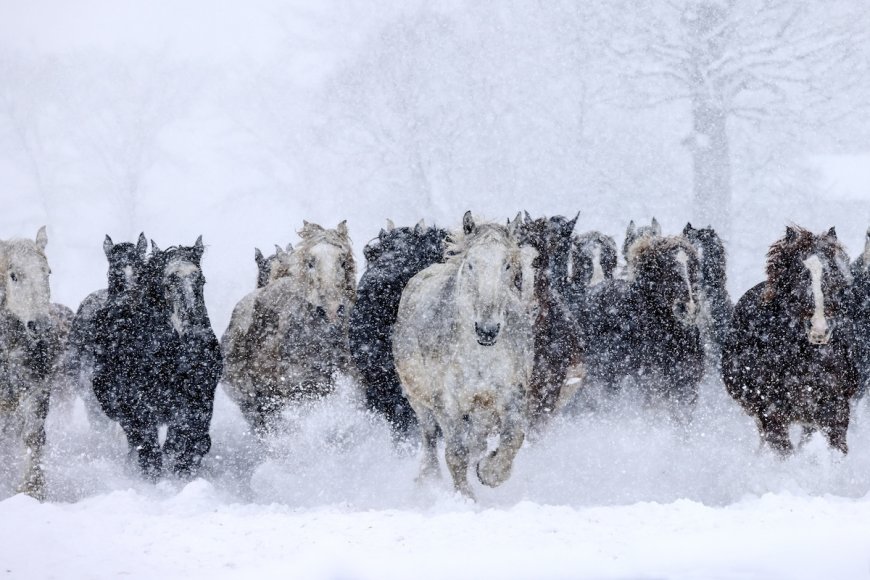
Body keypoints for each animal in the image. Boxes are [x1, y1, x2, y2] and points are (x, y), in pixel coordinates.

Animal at [91, 236, 222, 478]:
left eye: (201, 281)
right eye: (168, 283)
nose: (196, 335)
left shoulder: (199, 404)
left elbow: (191, 444)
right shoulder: (138, 410)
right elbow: (151, 453)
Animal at [393, 211, 533, 498]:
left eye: (507, 265)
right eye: (470, 264)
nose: (487, 329)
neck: (479, 353)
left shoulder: (510, 393)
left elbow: (513, 437)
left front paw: (489, 472)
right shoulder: (446, 402)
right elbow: (456, 453)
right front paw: (466, 498)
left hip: (480, 409)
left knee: (477, 440)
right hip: (418, 399)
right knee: (429, 436)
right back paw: (428, 480)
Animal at [722, 226, 858, 455]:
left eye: (832, 272)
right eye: (799, 273)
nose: (819, 329)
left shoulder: (835, 407)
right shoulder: (772, 412)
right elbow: (783, 450)